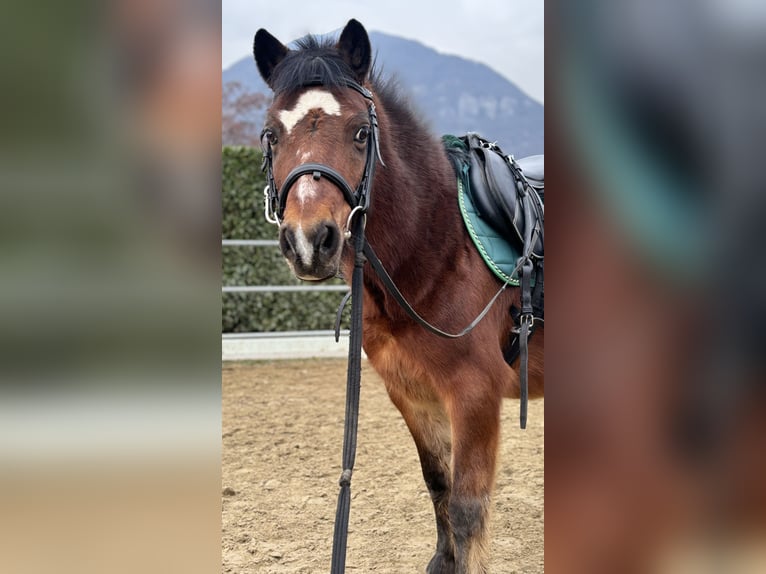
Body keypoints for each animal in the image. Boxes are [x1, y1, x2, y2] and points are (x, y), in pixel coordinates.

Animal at [253, 19, 544, 574]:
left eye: (360, 133)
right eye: (272, 135)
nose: (309, 241)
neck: (436, 244)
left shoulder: (475, 395)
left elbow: (469, 507)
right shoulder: (411, 393)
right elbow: (438, 485)